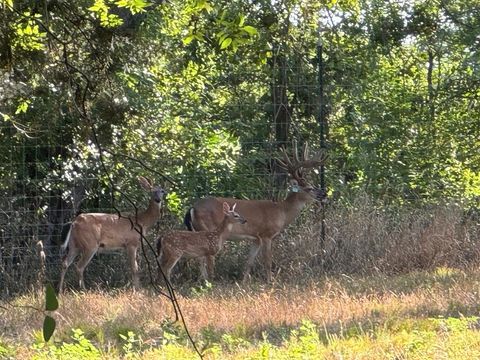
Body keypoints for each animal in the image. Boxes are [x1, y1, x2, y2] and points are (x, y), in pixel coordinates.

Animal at [184, 141, 326, 284]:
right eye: (309, 188)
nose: (324, 194)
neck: (282, 211)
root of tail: (192, 208)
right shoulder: (266, 234)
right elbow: (268, 261)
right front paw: (270, 281)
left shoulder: (256, 238)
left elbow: (249, 261)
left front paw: (243, 282)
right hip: (207, 229)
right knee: (205, 257)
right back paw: (208, 281)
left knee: (199, 257)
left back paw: (203, 281)